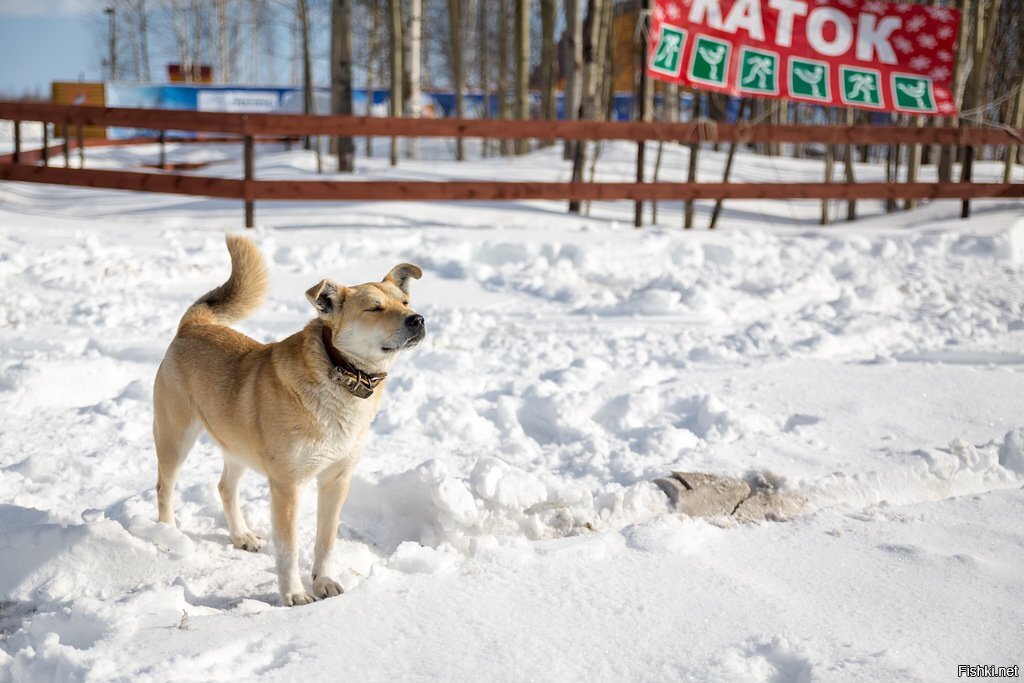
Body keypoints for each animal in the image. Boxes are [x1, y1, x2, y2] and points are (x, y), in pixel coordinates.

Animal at [152, 235, 423, 602]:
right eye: (374, 308)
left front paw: (324, 582)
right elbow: (289, 548)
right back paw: (168, 537)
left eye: (405, 302)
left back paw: (241, 536)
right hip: (175, 438)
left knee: (225, 488)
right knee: (164, 488)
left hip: (236, 446)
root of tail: (194, 325)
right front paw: (294, 595)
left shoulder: (336, 480)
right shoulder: (287, 486)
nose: (418, 319)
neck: (339, 373)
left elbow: (326, 540)